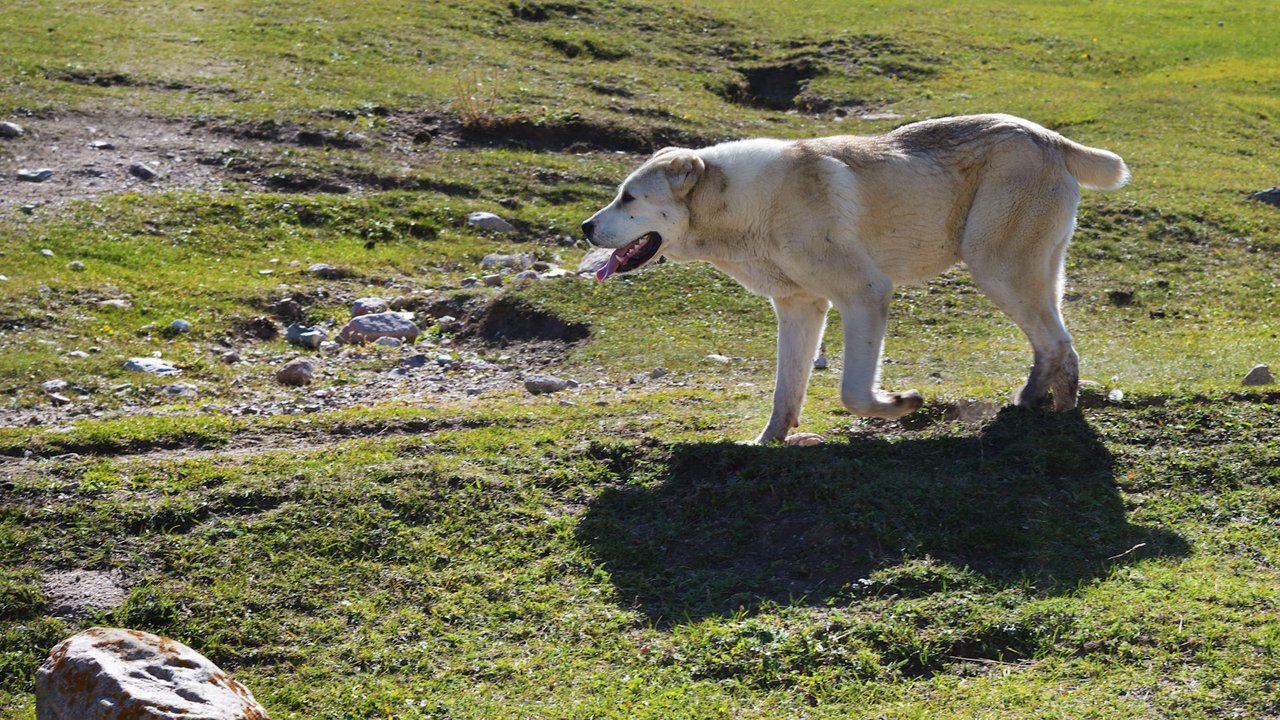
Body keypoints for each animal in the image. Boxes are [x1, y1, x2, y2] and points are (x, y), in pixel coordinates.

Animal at [581, 114, 1131, 440]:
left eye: (628, 198)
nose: (585, 227)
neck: (747, 205)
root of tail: (1049, 137)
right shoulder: (799, 308)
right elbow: (786, 389)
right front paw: (767, 443)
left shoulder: (866, 293)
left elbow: (852, 391)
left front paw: (902, 403)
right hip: (1030, 274)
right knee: (1060, 345)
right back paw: (1053, 406)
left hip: (996, 267)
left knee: (1055, 341)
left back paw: (1036, 406)